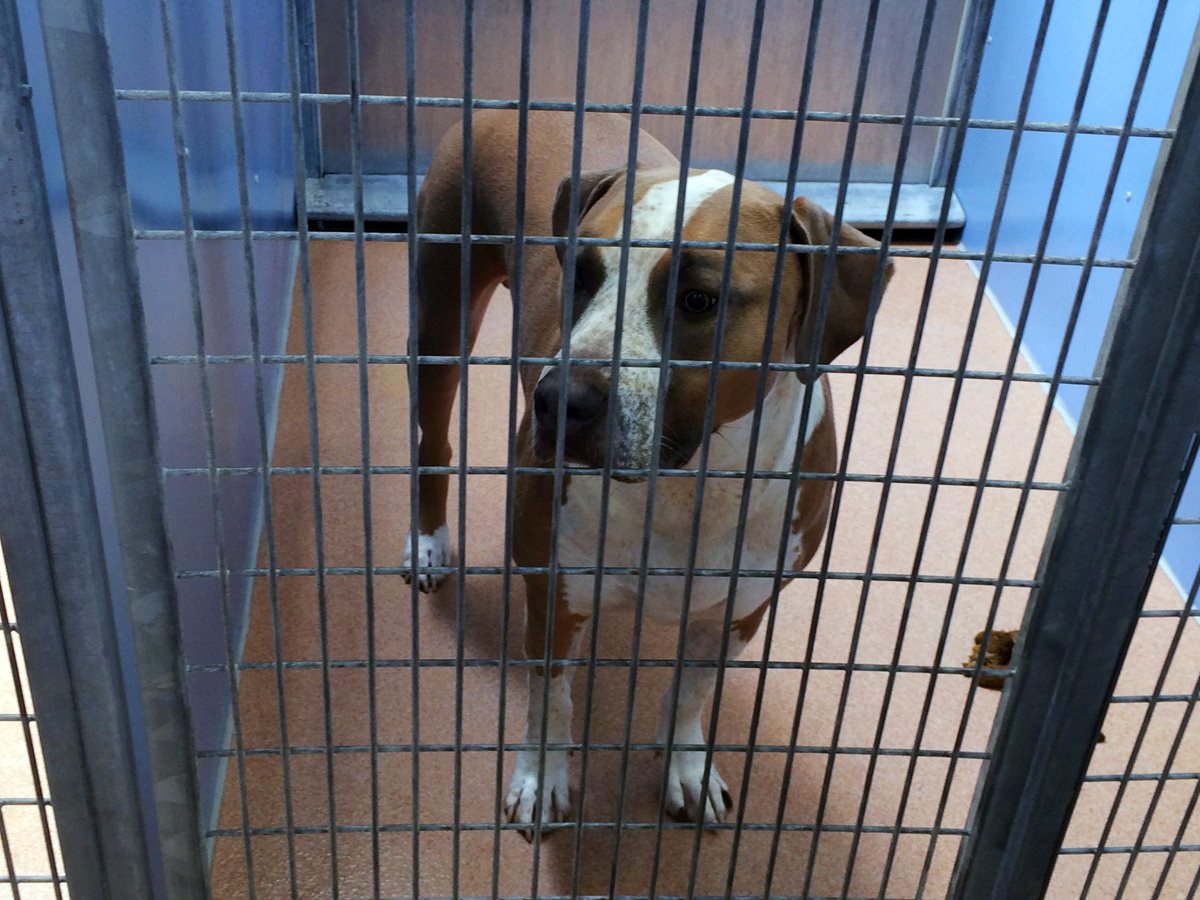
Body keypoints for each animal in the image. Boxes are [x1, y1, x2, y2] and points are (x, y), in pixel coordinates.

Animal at [403, 112, 892, 840]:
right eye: (578, 274)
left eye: (699, 299)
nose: (559, 400)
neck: (689, 485)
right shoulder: (553, 590)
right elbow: (550, 698)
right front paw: (541, 777)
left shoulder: (742, 609)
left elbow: (691, 689)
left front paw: (685, 764)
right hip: (441, 313)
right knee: (432, 438)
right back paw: (429, 542)